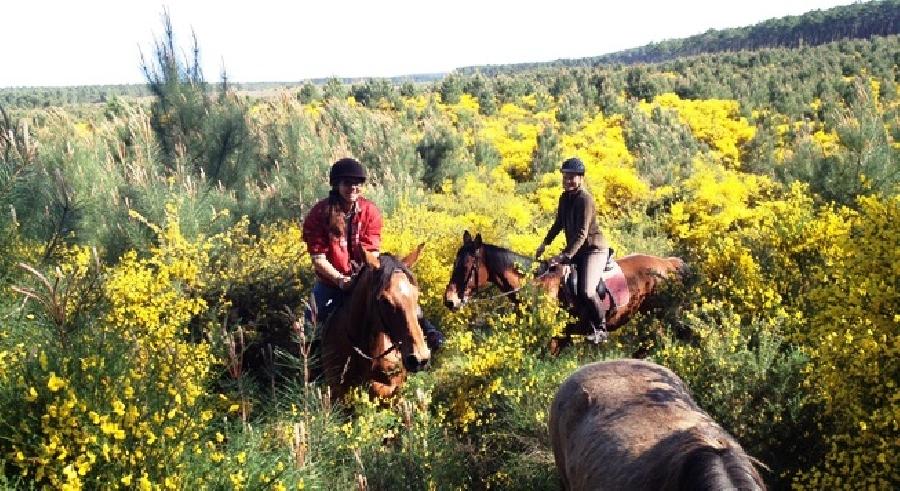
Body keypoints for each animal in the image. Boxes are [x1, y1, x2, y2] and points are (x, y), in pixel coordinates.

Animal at [444, 232, 688, 352]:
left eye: (466, 267)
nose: (449, 301)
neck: (536, 286)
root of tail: (667, 263)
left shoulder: (553, 339)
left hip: (657, 318)